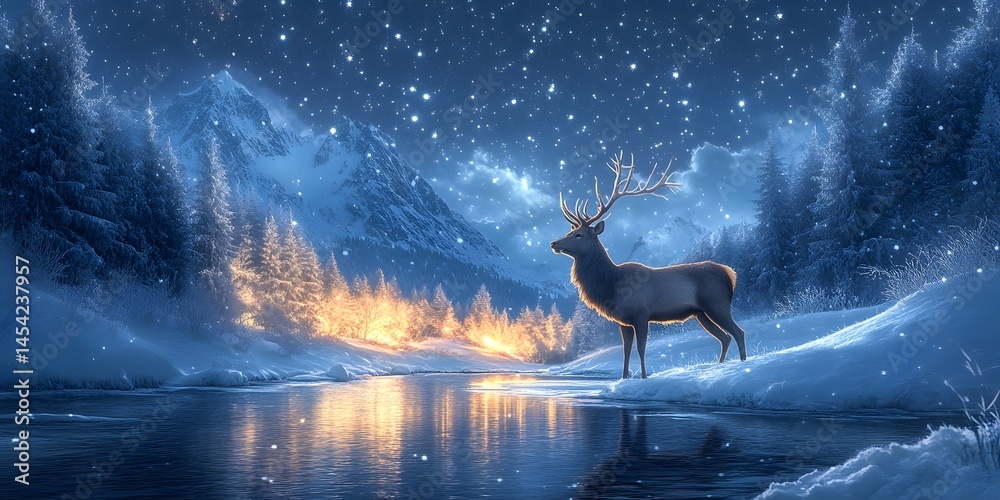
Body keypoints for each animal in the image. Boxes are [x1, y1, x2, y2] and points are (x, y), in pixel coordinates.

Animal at [550, 153, 747, 379]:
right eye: (569, 231)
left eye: (578, 235)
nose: (554, 243)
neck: (612, 285)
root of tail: (730, 273)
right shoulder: (623, 321)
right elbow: (626, 350)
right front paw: (624, 378)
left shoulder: (641, 314)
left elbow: (641, 348)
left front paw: (644, 377)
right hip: (701, 312)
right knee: (724, 337)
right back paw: (719, 366)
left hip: (717, 303)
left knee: (738, 332)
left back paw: (742, 364)